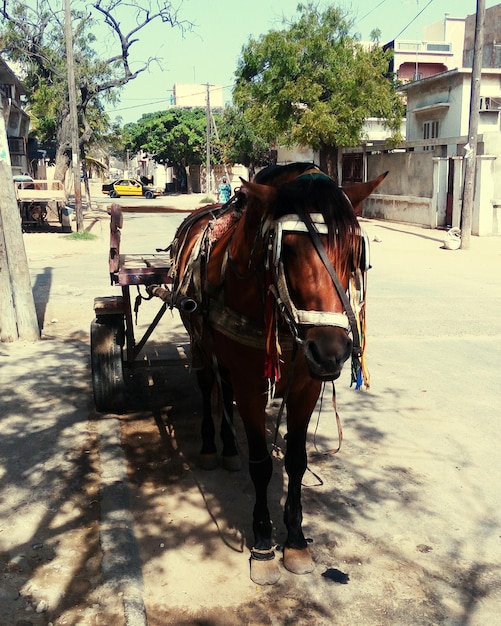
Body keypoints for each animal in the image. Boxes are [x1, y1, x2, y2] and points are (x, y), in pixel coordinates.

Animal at [168, 163, 386, 584]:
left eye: (355, 252)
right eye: (289, 251)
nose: (332, 352)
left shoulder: (306, 386)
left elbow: (297, 461)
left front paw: (297, 541)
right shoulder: (251, 384)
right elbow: (262, 464)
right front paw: (264, 545)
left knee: (223, 390)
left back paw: (229, 448)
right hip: (200, 342)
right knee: (208, 385)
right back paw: (211, 446)